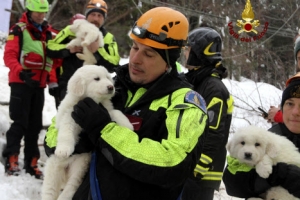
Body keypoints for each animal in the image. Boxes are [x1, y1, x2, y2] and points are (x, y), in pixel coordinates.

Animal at [41, 65, 133, 200]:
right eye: (96, 79)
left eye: (107, 78)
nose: (111, 87)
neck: (92, 101)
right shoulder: (69, 116)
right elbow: (66, 132)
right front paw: (63, 150)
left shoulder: (105, 110)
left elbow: (116, 112)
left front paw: (128, 125)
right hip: (53, 170)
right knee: (49, 191)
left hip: (80, 167)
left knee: (71, 186)